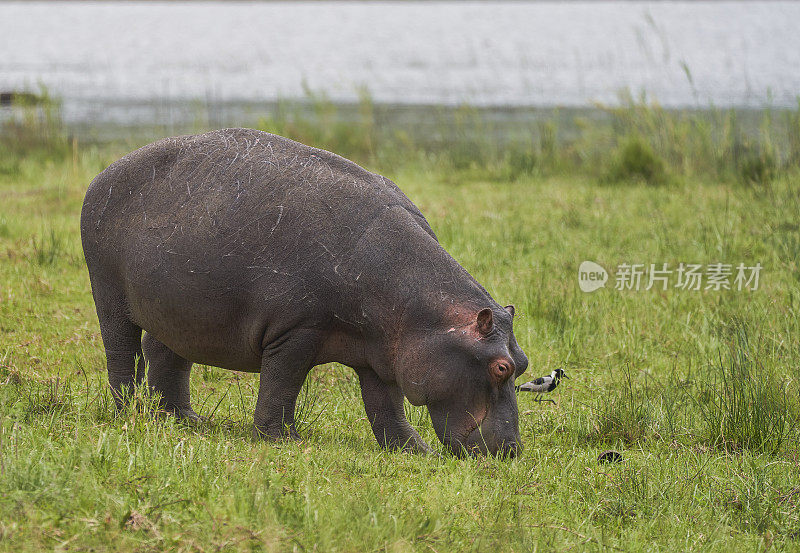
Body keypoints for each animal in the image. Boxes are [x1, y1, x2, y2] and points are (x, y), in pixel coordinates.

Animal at [81, 129, 528, 458]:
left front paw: (415, 452)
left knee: (165, 354)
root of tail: (104, 172)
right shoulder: (297, 331)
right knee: (122, 352)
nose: (512, 451)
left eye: (522, 364)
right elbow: (283, 382)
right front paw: (281, 440)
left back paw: (185, 419)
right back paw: (132, 413)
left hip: (180, 309)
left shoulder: (380, 352)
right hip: (110, 297)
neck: (426, 312)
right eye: (501, 367)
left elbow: (386, 407)